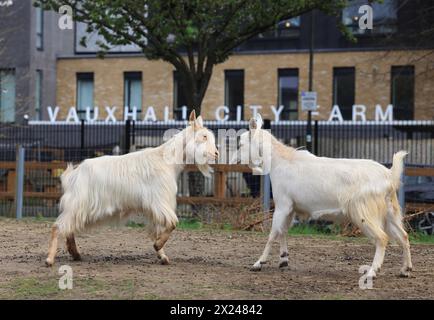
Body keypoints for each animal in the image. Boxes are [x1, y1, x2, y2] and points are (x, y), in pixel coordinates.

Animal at [45, 111, 219, 266]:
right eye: (204, 136)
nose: (216, 153)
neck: (165, 161)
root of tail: (74, 174)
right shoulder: (160, 202)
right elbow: (173, 222)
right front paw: (158, 245)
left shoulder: (153, 209)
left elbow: (156, 230)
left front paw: (162, 256)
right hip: (78, 204)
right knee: (58, 227)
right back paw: (50, 259)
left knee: (69, 229)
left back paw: (75, 254)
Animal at [241, 114, 414, 278]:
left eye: (241, 144)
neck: (281, 161)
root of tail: (389, 175)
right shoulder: (291, 208)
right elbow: (283, 231)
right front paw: (283, 260)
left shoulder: (283, 205)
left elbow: (273, 233)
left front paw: (258, 263)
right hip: (390, 213)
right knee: (403, 236)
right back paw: (405, 270)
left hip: (364, 212)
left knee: (382, 238)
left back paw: (372, 271)